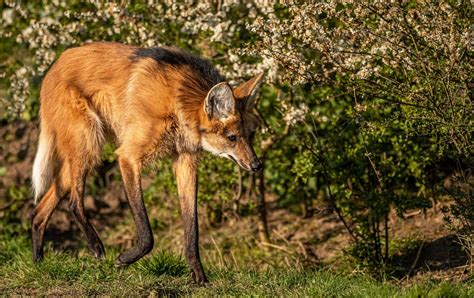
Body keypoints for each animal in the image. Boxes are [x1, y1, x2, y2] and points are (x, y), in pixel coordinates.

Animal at [31, 42, 264, 284]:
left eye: (251, 135)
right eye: (232, 138)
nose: (257, 165)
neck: (177, 102)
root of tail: (55, 65)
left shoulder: (185, 160)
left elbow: (192, 227)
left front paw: (199, 277)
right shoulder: (128, 156)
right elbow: (146, 230)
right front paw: (124, 259)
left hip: (83, 151)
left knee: (39, 211)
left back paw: (39, 265)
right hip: (88, 143)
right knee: (73, 203)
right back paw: (96, 247)